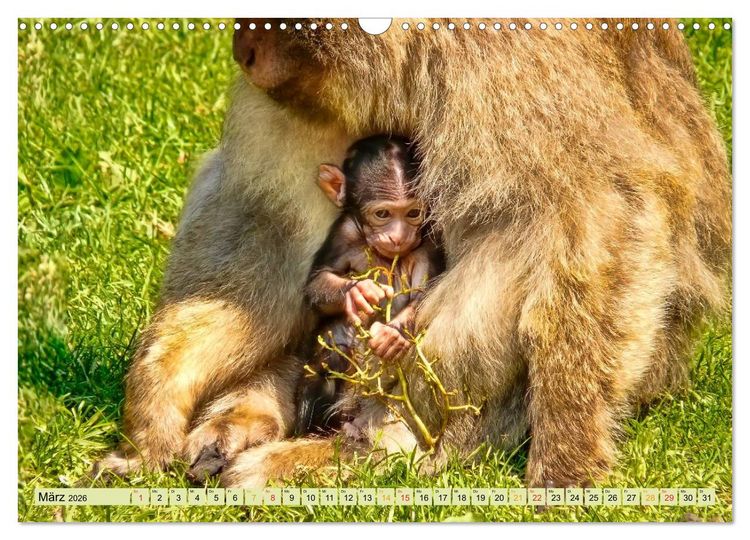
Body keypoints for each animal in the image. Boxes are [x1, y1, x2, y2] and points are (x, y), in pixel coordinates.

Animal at [295, 135, 445, 436]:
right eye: (383, 213)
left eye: (413, 212)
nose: (399, 236)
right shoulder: (344, 232)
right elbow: (318, 281)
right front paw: (357, 293)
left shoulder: (429, 240)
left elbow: (425, 293)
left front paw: (393, 334)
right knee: (331, 349)